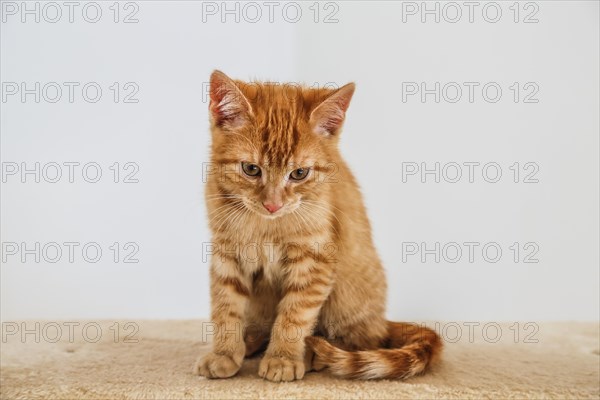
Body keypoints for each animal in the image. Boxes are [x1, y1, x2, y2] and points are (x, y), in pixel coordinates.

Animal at [196, 71, 440, 382]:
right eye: (251, 169)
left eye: (299, 173)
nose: (273, 205)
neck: (267, 225)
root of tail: (382, 320)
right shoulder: (227, 253)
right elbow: (226, 306)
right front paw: (225, 352)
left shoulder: (316, 260)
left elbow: (295, 313)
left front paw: (283, 358)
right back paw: (251, 341)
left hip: (348, 293)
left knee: (363, 341)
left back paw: (315, 354)